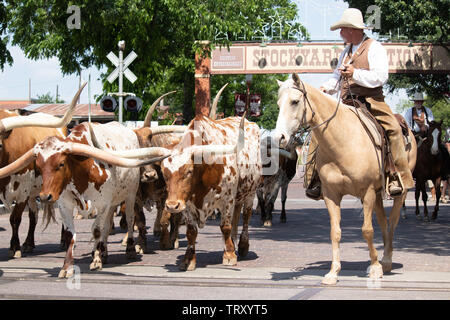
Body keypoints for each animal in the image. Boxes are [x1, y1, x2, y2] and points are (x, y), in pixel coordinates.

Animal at [274, 74, 418, 284]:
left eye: (295, 101)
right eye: (278, 104)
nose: (279, 138)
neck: (343, 141)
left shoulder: (367, 192)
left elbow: (367, 230)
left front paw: (375, 268)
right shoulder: (331, 195)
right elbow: (335, 232)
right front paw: (333, 272)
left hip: (400, 191)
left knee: (392, 222)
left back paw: (386, 261)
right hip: (377, 194)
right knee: (383, 222)